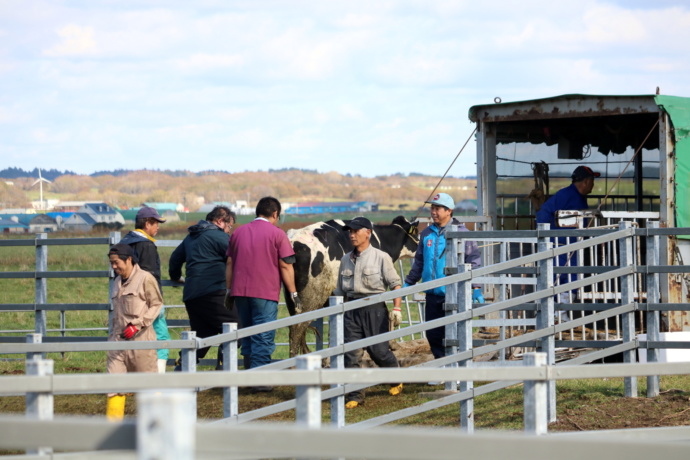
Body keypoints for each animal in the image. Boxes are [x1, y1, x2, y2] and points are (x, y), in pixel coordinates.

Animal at [284, 217, 416, 360]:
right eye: (416, 232)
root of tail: (293, 242)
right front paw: (391, 342)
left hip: (292, 300)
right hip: (310, 300)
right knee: (296, 331)